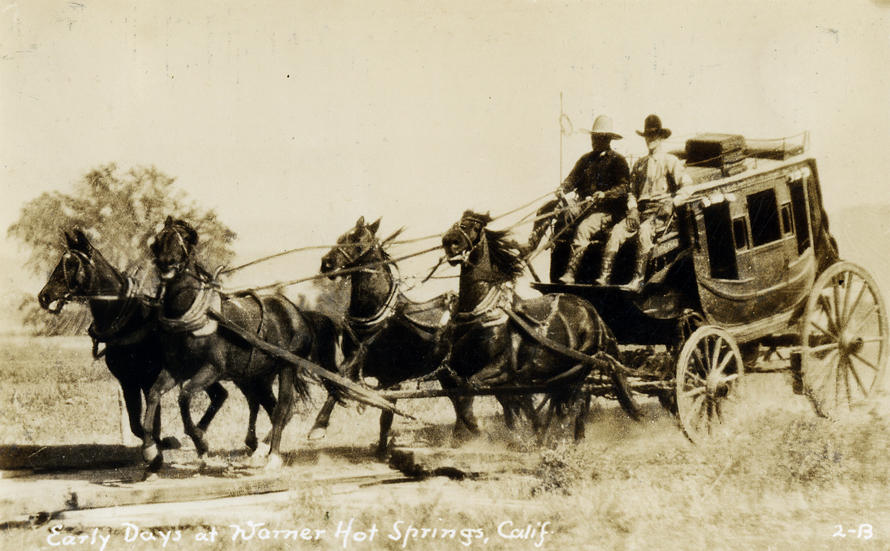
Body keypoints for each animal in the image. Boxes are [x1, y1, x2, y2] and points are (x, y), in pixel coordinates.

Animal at [35, 230, 229, 452]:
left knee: (218, 395)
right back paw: (198, 434)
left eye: (72, 264)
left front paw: (161, 444)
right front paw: (157, 444)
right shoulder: (128, 381)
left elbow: (151, 421)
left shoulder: (147, 379)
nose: (44, 296)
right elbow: (137, 424)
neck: (130, 322)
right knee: (219, 395)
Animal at [146, 218, 340, 472]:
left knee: (282, 408)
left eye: (185, 240)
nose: (165, 262)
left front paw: (200, 442)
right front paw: (150, 450)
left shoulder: (212, 369)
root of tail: (299, 313)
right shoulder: (175, 369)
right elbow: (153, 394)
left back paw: (273, 456)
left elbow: (185, 395)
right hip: (257, 375)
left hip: (286, 367)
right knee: (267, 405)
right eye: (159, 239)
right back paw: (259, 447)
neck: (192, 316)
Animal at [438, 210, 640, 440]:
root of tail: (595, 315)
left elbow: (480, 388)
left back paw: (569, 437)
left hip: (577, 367)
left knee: (578, 399)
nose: (449, 242)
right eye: (457, 223)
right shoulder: (458, 365)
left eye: (472, 226)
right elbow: (457, 388)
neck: (480, 313)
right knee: (569, 397)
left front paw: (492, 430)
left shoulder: (503, 368)